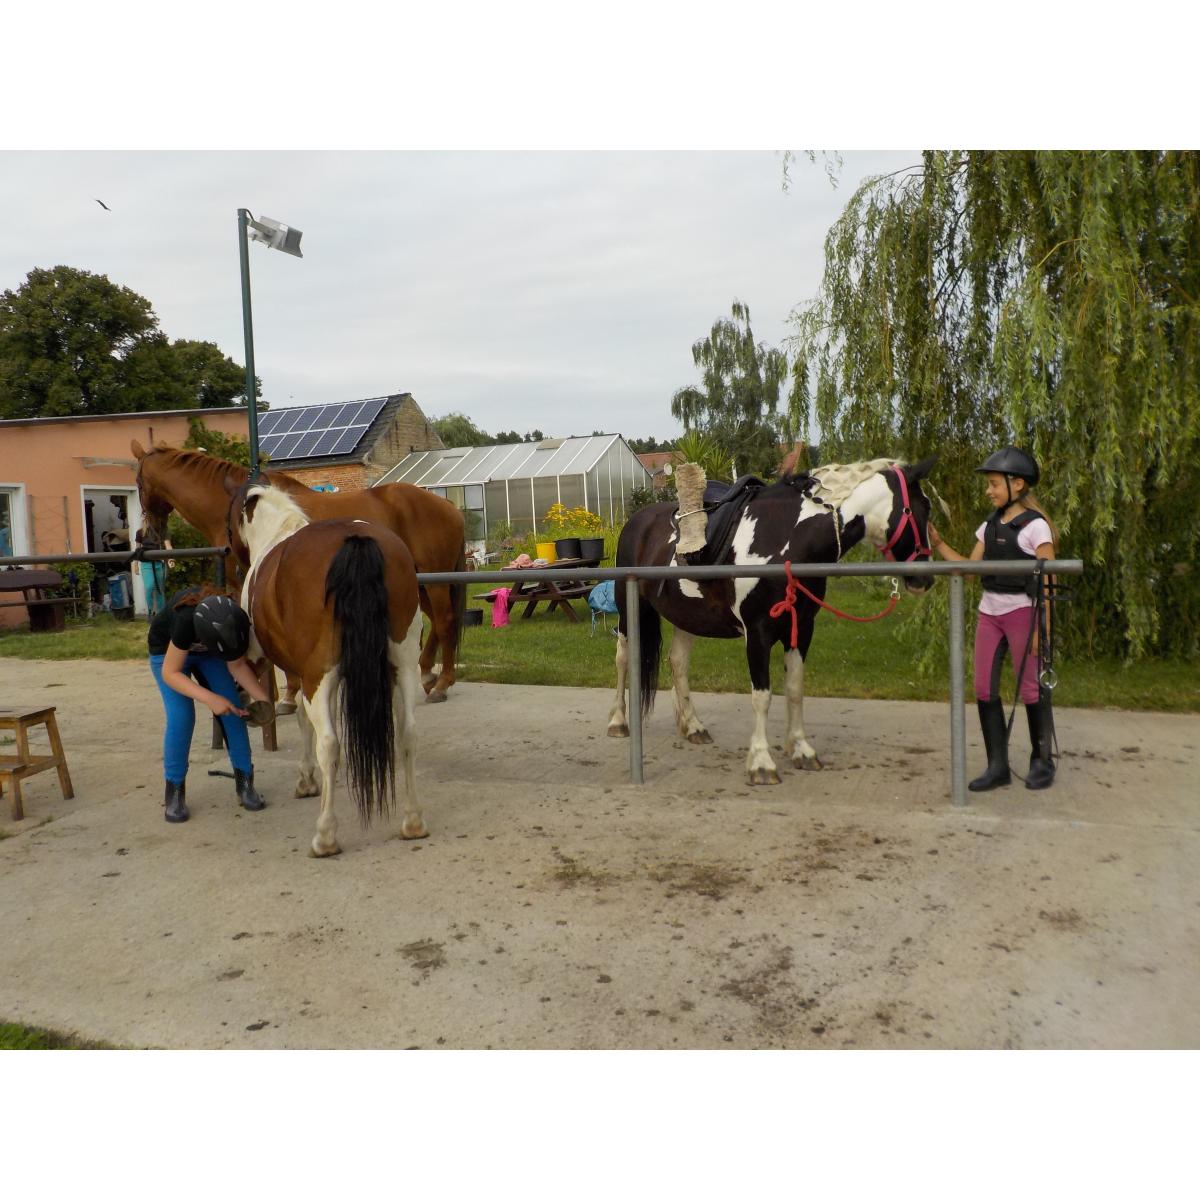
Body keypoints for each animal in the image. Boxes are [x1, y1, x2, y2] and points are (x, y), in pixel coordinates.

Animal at [131, 441, 465, 700]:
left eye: (138, 483)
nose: (148, 533)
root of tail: (448, 507)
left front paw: (288, 694)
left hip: (433, 581)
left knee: (445, 620)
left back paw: (442, 684)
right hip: (418, 583)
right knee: (437, 624)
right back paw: (427, 675)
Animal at [228, 472, 427, 859]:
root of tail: (356, 541)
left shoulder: (287, 667)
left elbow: (303, 721)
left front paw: (306, 781)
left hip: (319, 676)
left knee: (330, 744)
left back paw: (325, 836)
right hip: (405, 666)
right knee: (408, 733)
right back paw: (412, 822)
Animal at [609, 453, 936, 782]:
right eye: (925, 507)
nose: (925, 579)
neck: (786, 539)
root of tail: (636, 520)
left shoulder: (801, 629)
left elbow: (795, 689)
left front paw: (802, 750)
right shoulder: (758, 633)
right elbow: (762, 696)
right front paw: (761, 762)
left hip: (687, 615)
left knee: (678, 662)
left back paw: (693, 726)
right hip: (626, 605)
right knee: (623, 657)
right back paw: (618, 722)